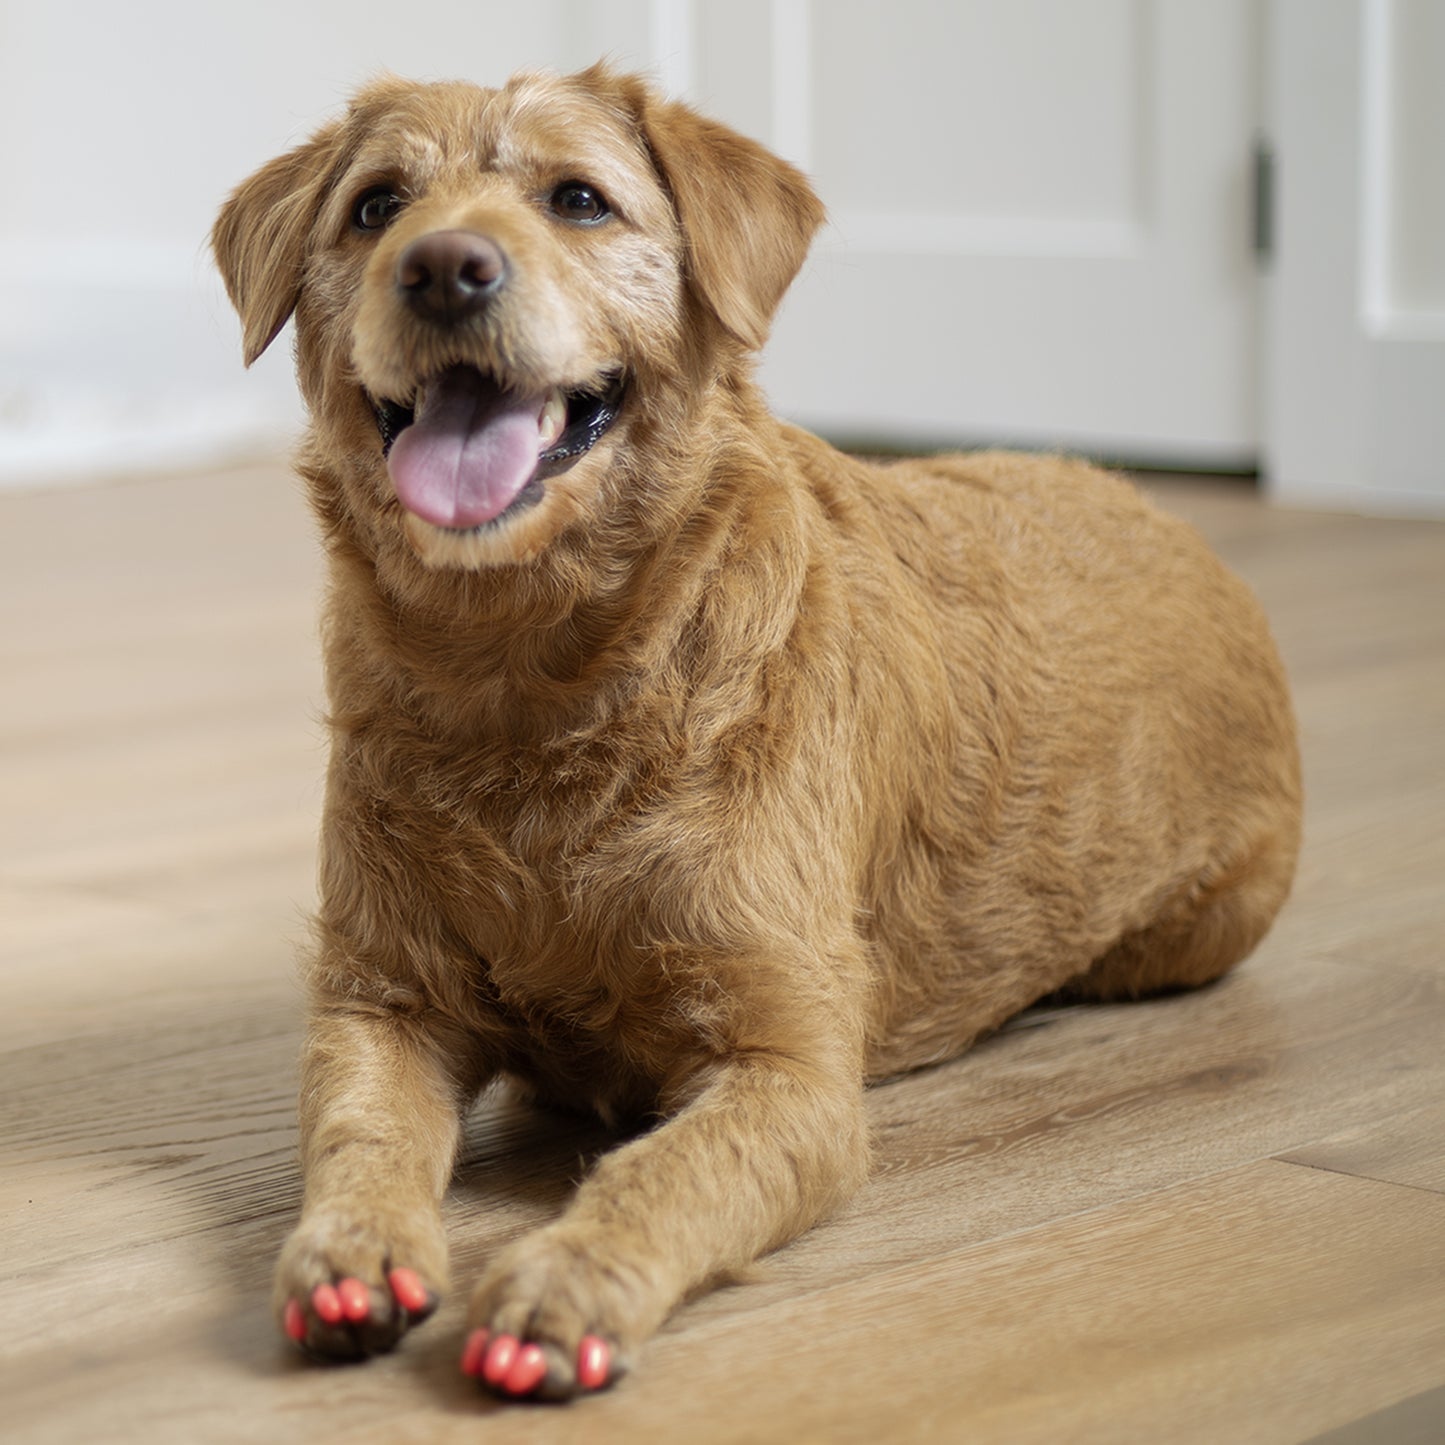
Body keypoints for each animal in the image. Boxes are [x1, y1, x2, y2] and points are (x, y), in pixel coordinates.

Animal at [213, 65, 1312, 1398]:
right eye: (376, 206)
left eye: (578, 198)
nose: (442, 266)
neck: (532, 689)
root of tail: (1183, 529)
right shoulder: (382, 1002)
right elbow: (357, 1130)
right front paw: (350, 1247)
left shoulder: (789, 1070)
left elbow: (668, 1169)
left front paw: (566, 1280)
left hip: (1194, 927)